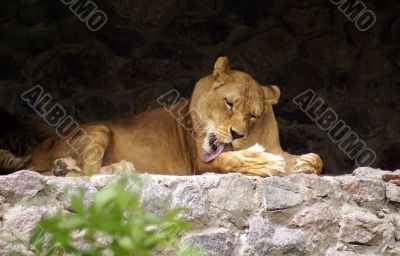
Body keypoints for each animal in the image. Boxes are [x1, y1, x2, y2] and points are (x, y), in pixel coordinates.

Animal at [0, 56, 322, 176]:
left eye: (253, 116)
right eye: (230, 103)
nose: (237, 135)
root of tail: (35, 153)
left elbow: (316, 159)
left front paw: (304, 163)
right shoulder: (201, 165)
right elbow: (231, 159)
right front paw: (263, 163)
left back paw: (64, 167)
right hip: (99, 129)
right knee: (90, 171)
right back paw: (119, 168)